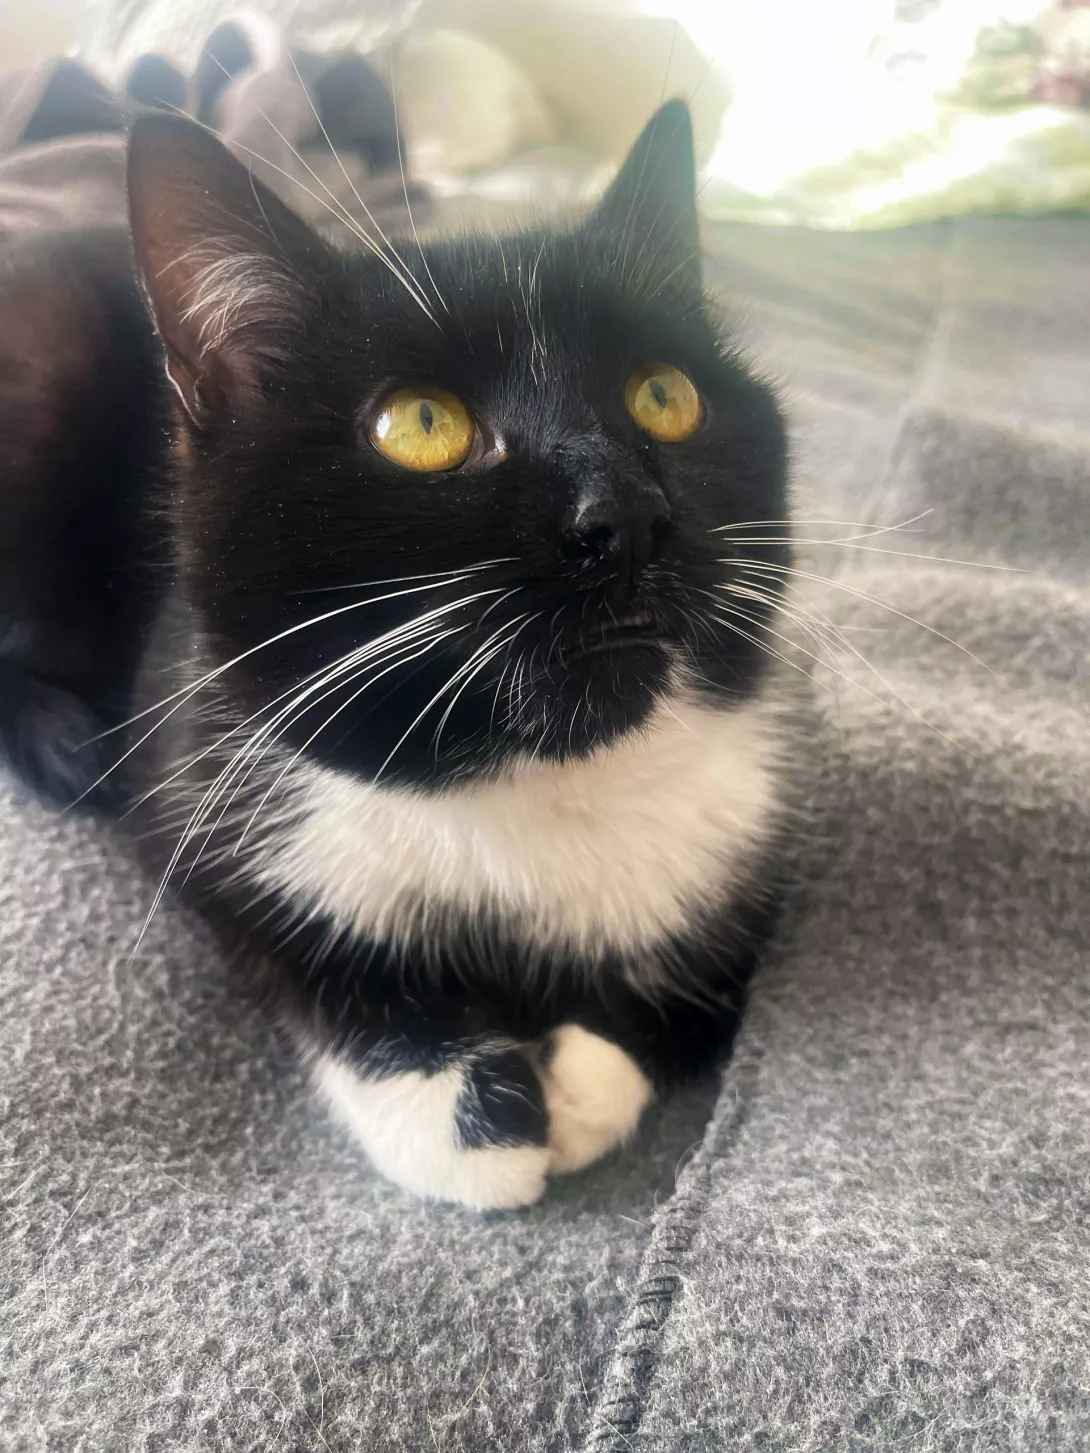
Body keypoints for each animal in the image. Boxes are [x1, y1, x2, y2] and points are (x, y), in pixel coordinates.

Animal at [0, 99, 793, 1208]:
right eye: (420, 424)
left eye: (665, 396)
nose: (625, 513)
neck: (526, 782)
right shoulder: (194, 748)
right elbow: (277, 927)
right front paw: (463, 1109)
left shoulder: (750, 828)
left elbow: (720, 973)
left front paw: (585, 1083)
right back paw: (62, 741)